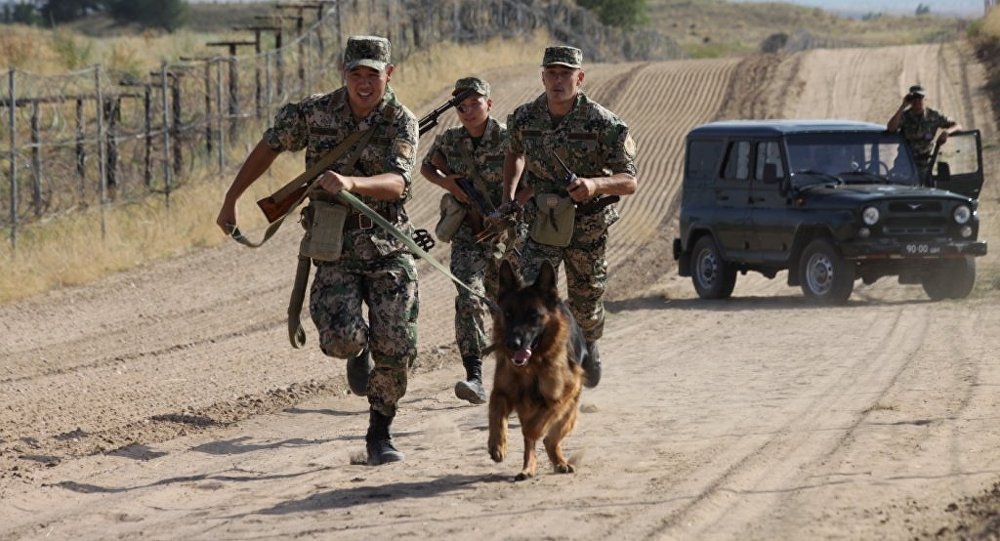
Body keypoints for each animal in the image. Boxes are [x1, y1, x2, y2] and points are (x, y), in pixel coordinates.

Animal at [490, 260, 588, 478]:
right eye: (508, 314)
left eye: (533, 315)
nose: (512, 344)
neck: (532, 367)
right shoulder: (501, 392)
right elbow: (497, 415)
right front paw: (497, 445)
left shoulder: (560, 396)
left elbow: (534, 427)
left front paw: (530, 431)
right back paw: (528, 468)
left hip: (569, 413)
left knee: (550, 439)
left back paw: (560, 462)